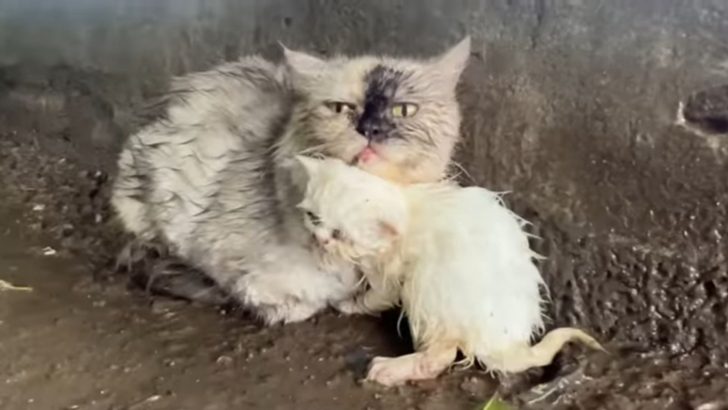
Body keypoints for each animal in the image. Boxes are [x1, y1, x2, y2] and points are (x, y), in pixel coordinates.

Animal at [292, 156, 604, 384]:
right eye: (313, 217)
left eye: (341, 234)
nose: (321, 239)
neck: (404, 202)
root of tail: (504, 343)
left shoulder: (390, 273)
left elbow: (375, 296)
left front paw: (349, 303)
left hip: (426, 284)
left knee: (440, 357)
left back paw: (389, 370)